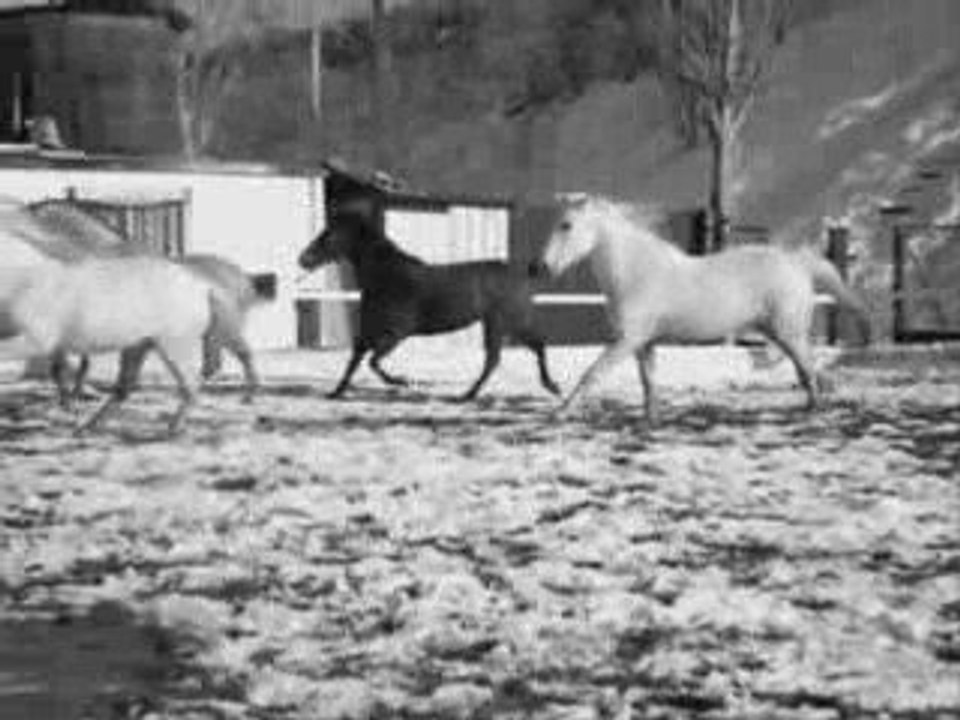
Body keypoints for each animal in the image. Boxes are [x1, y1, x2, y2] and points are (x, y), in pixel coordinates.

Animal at [1, 256, 226, 435]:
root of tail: (203, 288)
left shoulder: (37, 338)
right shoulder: (53, 345)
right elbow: (58, 371)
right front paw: (69, 405)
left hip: (174, 345)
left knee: (191, 386)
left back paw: (173, 428)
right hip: (138, 345)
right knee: (123, 389)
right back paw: (86, 427)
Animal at [298, 211, 561, 401]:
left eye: (328, 235)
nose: (303, 259)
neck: (386, 277)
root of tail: (521, 274)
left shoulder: (397, 332)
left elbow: (374, 361)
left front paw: (403, 381)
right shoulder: (368, 331)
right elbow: (354, 361)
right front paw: (335, 392)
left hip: (506, 322)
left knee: (522, 350)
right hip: (497, 324)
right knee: (504, 357)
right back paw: (472, 394)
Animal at [533, 194, 871, 423]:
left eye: (566, 225)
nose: (540, 267)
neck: (635, 273)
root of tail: (796, 263)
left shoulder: (627, 340)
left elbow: (592, 374)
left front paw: (561, 411)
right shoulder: (644, 343)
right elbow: (648, 384)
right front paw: (650, 418)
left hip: (789, 333)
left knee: (809, 372)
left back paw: (815, 411)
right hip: (779, 333)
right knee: (807, 371)